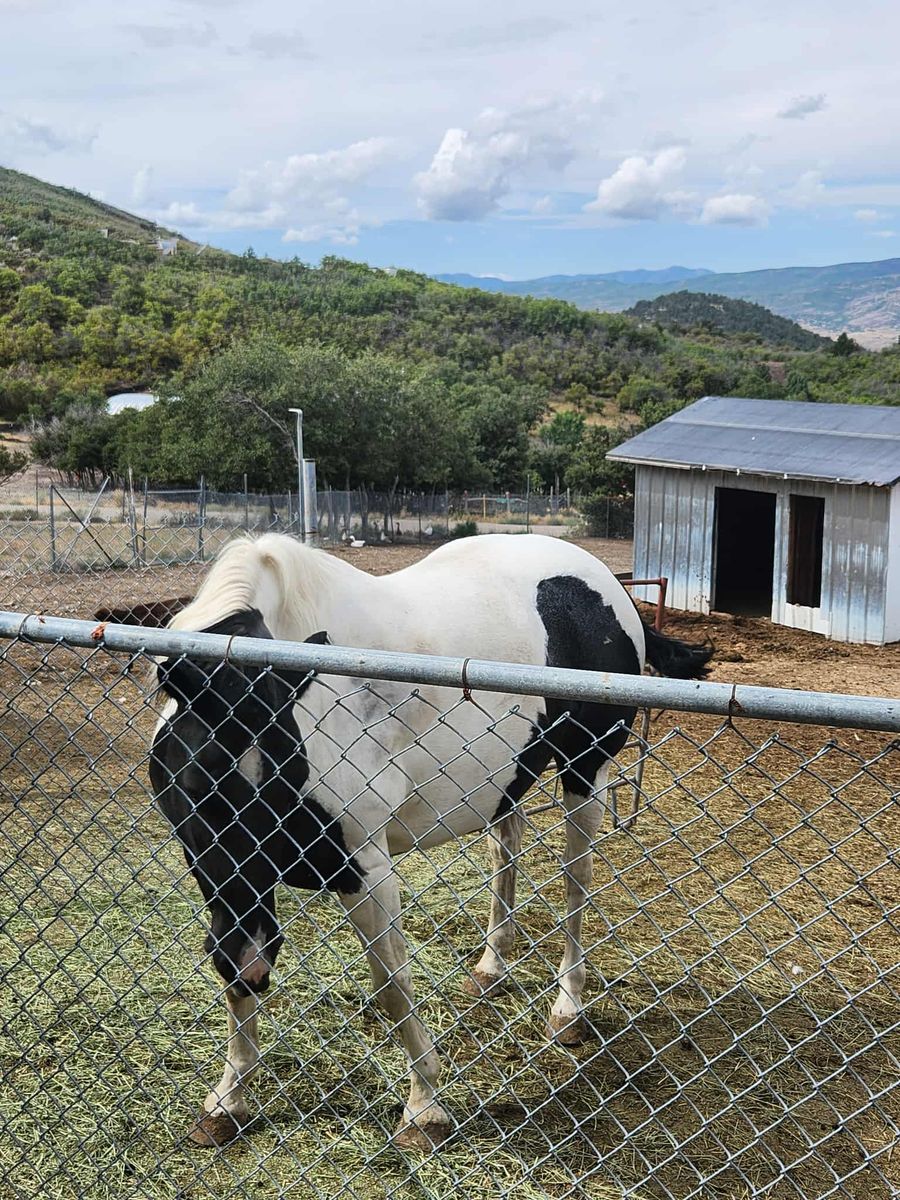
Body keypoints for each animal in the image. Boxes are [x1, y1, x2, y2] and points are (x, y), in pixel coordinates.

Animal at [148, 532, 712, 1151]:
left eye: (283, 768)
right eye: (197, 782)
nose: (252, 962)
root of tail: (607, 585)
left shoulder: (364, 869)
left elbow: (394, 985)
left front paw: (424, 1108)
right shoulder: (227, 880)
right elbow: (242, 971)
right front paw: (227, 1100)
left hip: (585, 769)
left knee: (576, 881)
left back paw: (568, 1008)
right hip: (507, 780)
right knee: (505, 852)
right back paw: (491, 967)